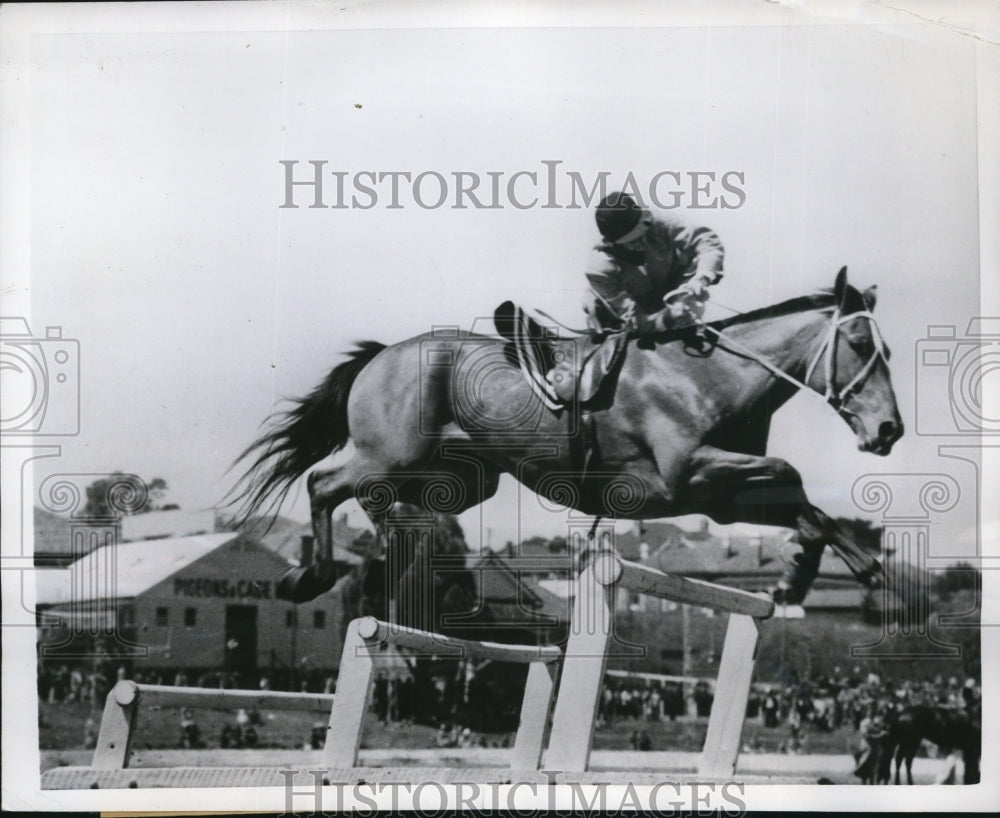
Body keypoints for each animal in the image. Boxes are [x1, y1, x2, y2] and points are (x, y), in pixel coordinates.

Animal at [230, 264, 904, 604]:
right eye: (860, 344)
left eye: (888, 350)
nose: (890, 430)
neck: (709, 378)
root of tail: (381, 354)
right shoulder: (687, 475)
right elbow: (793, 476)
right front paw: (809, 573)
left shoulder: (719, 496)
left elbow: (806, 510)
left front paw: (829, 571)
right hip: (387, 455)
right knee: (326, 484)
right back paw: (310, 576)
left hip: (463, 479)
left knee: (389, 505)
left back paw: (397, 558)